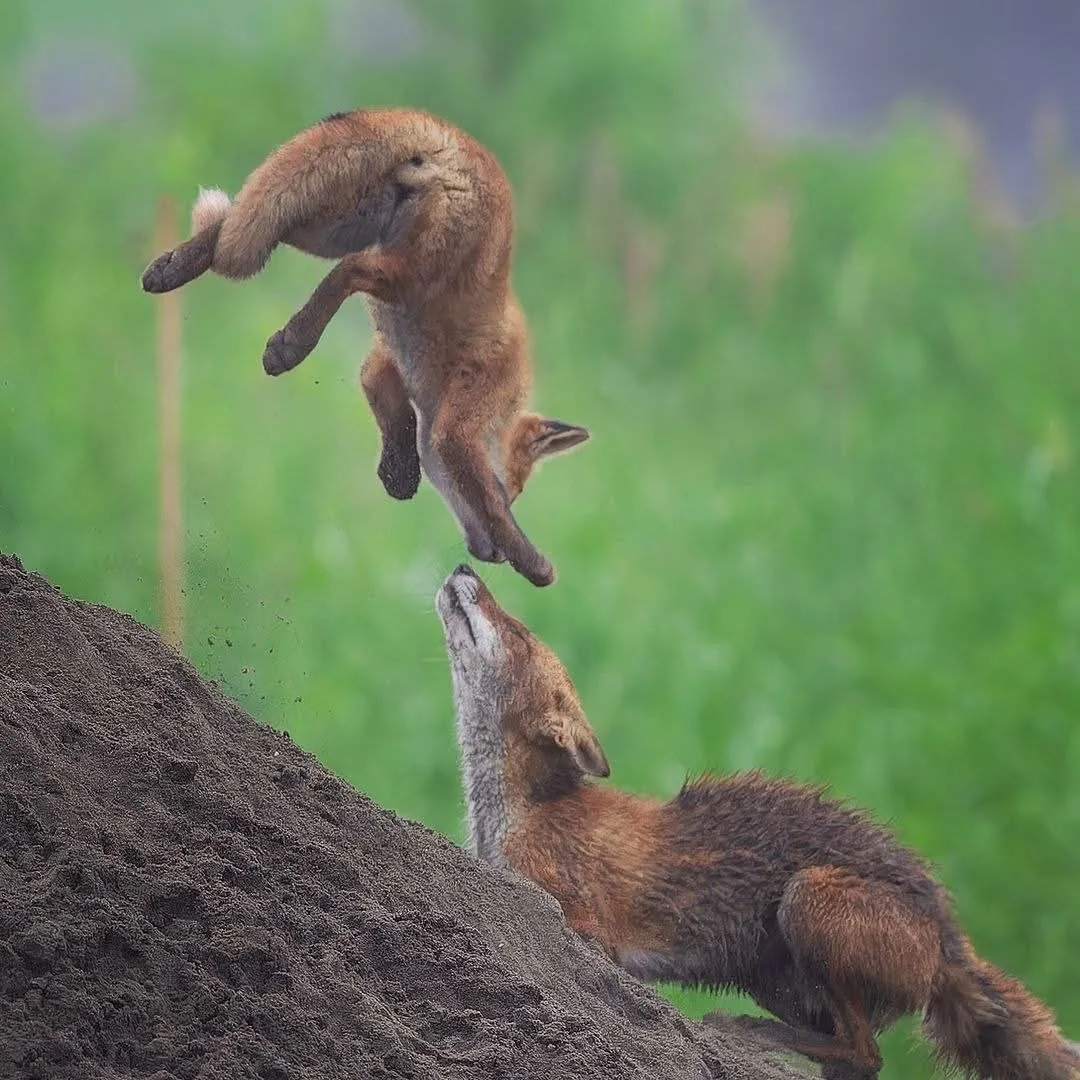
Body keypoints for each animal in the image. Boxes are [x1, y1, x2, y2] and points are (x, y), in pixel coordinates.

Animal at [140, 108, 589, 587]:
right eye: (509, 492)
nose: (492, 556)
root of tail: (450, 136)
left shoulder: (385, 365)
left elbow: (393, 414)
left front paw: (399, 472)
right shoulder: (466, 415)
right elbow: (470, 479)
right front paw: (534, 563)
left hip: (327, 225)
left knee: (237, 224)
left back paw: (171, 268)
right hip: (405, 273)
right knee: (351, 269)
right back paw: (293, 341)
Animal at [435, 563, 1079, 1080]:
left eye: (516, 630)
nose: (467, 566)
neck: (520, 812)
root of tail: (949, 933)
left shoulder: (588, 925)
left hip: (807, 900)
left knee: (866, 1052)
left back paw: (749, 1034)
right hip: (778, 980)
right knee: (858, 1056)